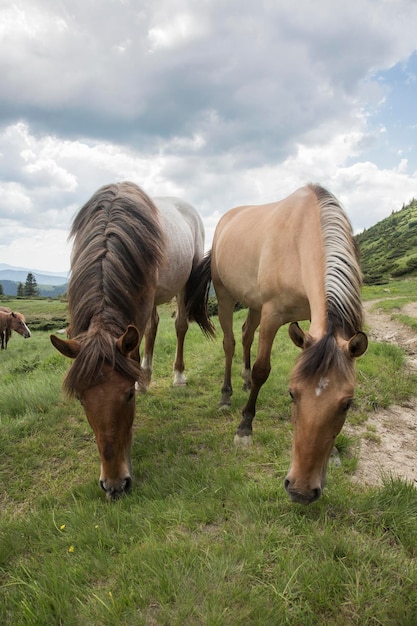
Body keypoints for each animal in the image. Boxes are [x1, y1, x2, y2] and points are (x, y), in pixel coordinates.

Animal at [50, 179, 213, 498]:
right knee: (153, 327)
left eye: (127, 395)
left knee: (179, 325)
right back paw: (146, 377)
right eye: (81, 399)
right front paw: (141, 379)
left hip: (183, 284)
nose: (114, 484)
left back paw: (178, 375)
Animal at [187, 184, 366, 502]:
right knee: (231, 343)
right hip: (226, 296)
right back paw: (226, 395)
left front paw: (333, 453)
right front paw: (244, 427)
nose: (302, 491)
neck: (300, 240)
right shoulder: (272, 315)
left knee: (247, 333)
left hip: (254, 304)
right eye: (292, 394)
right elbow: (262, 370)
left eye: (347, 403)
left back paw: (244, 381)